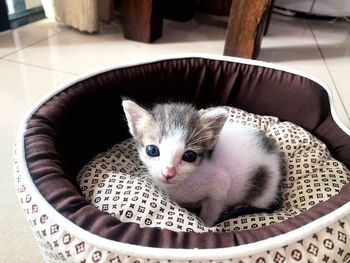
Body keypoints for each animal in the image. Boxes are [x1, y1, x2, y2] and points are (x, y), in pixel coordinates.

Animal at [121, 100, 284, 228]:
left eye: (189, 156)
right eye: (152, 150)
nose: (168, 173)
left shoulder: (220, 184)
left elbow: (212, 208)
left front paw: (205, 224)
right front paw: (147, 177)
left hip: (263, 189)